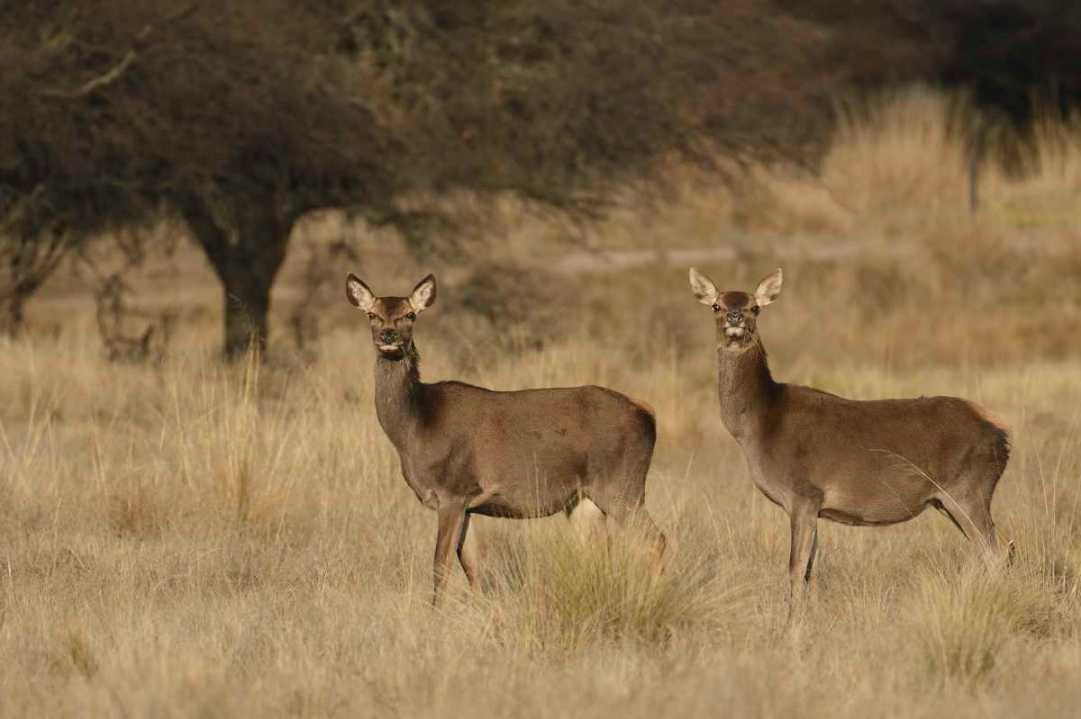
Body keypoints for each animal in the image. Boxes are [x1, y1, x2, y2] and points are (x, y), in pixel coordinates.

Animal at [346, 273, 667, 606]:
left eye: (410, 315)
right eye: (372, 315)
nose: (388, 336)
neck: (416, 426)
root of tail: (647, 412)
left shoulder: (452, 491)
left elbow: (440, 564)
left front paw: (435, 612)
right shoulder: (468, 503)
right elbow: (471, 565)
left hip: (622, 485)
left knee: (656, 541)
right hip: (584, 498)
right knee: (602, 550)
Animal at [688, 267, 1011, 616]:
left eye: (754, 307)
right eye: (716, 305)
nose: (734, 316)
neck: (758, 426)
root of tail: (1002, 435)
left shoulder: (803, 493)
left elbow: (795, 568)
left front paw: (791, 623)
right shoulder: (814, 505)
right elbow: (810, 570)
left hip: (967, 489)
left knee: (998, 553)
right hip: (948, 499)